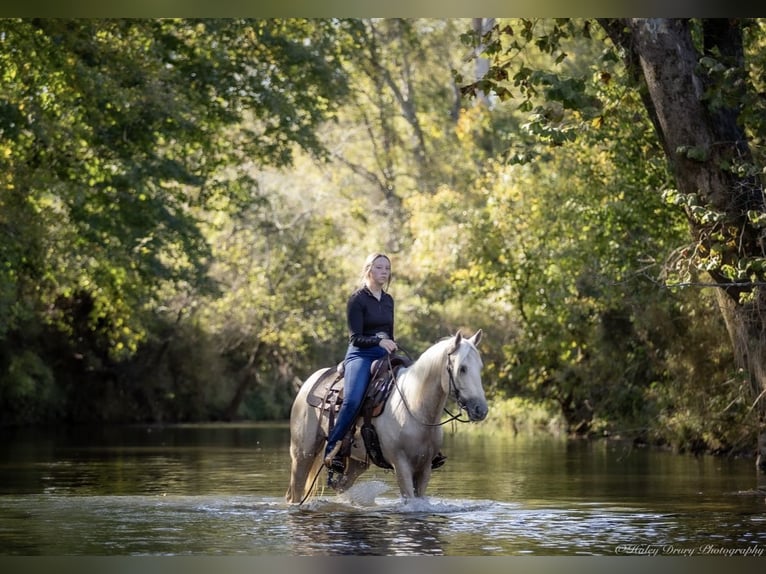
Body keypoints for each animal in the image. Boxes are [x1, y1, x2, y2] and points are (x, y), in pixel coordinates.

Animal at [285, 329, 488, 503]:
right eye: (462, 368)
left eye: (480, 367)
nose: (481, 410)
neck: (413, 407)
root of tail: (311, 381)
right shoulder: (401, 465)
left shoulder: (425, 467)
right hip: (303, 453)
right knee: (295, 492)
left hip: (357, 462)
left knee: (341, 485)